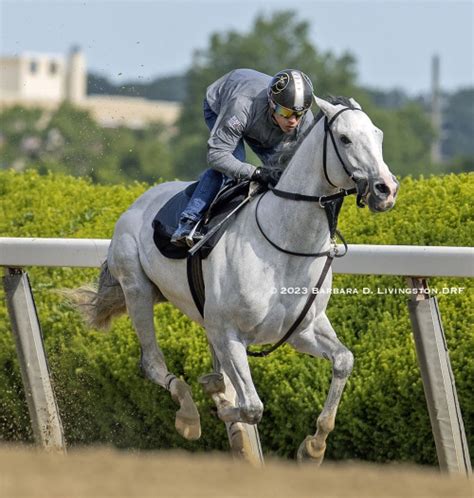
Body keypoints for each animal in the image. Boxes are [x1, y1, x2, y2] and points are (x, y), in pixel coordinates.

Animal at [73, 98, 400, 466]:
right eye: (344, 138)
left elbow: (344, 361)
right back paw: (188, 416)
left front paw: (313, 447)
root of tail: (138, 203)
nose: (386, 189)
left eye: (378, 134)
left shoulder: (301, 330)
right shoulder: (231, 334)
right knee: (153, 364)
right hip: (137, 289)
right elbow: (252, 407)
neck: (284, 245)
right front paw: (219, 402)